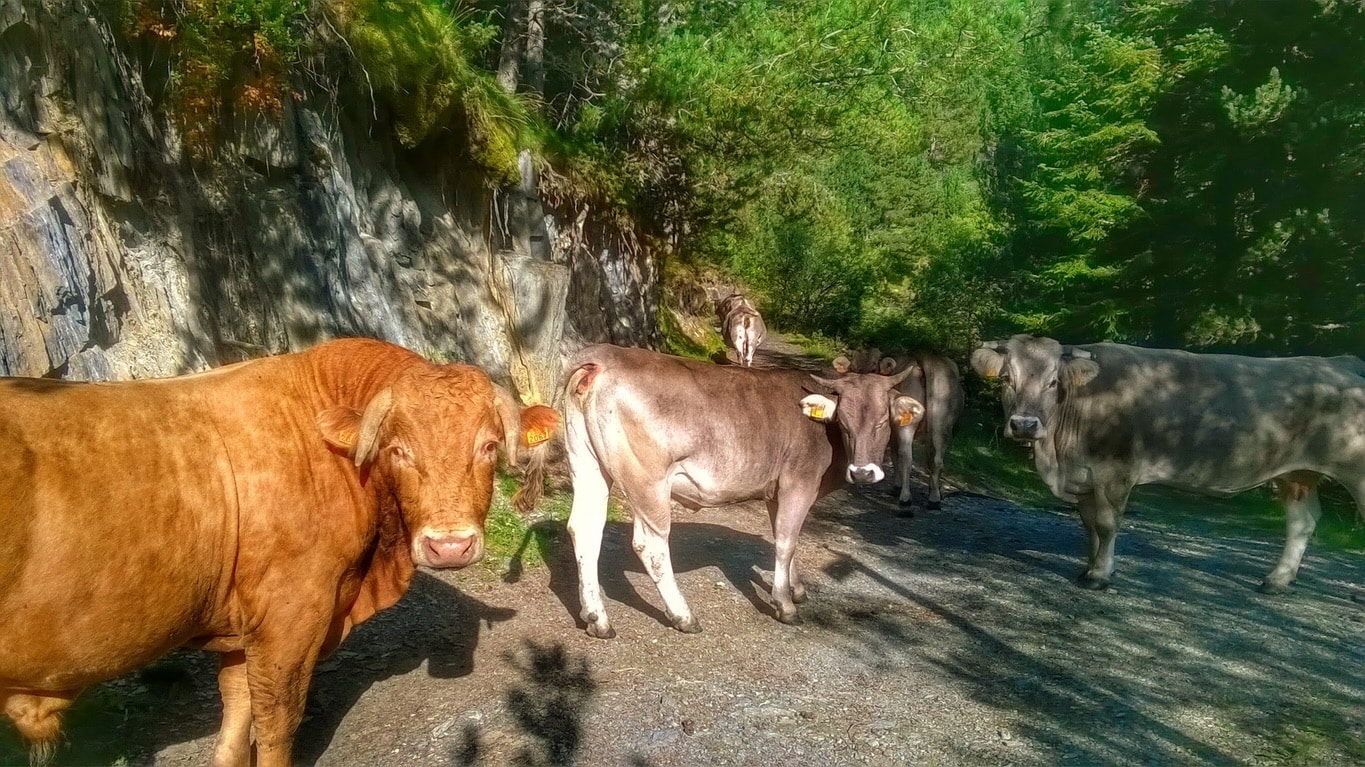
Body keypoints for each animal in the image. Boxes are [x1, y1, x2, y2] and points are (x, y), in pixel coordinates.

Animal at [0, 338, 559, 767]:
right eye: (397, 449)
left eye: (488, 445)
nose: (449, 545)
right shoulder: (292, 616)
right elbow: (276, 721)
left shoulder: (244, 626)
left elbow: (237, 712)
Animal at [560, 344, 918, 638]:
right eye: (843, 421)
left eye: (883, 421)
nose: (862, 472)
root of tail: (602, 357)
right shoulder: (798, 482)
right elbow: (787, 541)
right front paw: (785, 605)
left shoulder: (776, 489)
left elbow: (786, 537)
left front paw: (797, 589)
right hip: (648, 479)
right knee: (650, 544)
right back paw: (683, 616)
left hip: (587, 463)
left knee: (584, 529)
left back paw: (597, 618)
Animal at [878, 353, 964, 512]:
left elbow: (894, 454)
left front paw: (896, 487)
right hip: (942, 423)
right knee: (936, 459)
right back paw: (934, 499)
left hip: (908, 422)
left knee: (906, 455)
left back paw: (904, 497)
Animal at [970, 334, 1365, 592]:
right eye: (1006, 379)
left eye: (1053, 382)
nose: (1024, 424)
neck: (1058, 456)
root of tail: (1341, 362)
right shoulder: (1085, 476)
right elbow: (1089, 526)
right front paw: (1092, 566)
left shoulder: (1115, 469)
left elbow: (1107, 524)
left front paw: (1099, 576)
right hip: (1299, 472)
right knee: (1302, 521)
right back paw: (1277, 581)